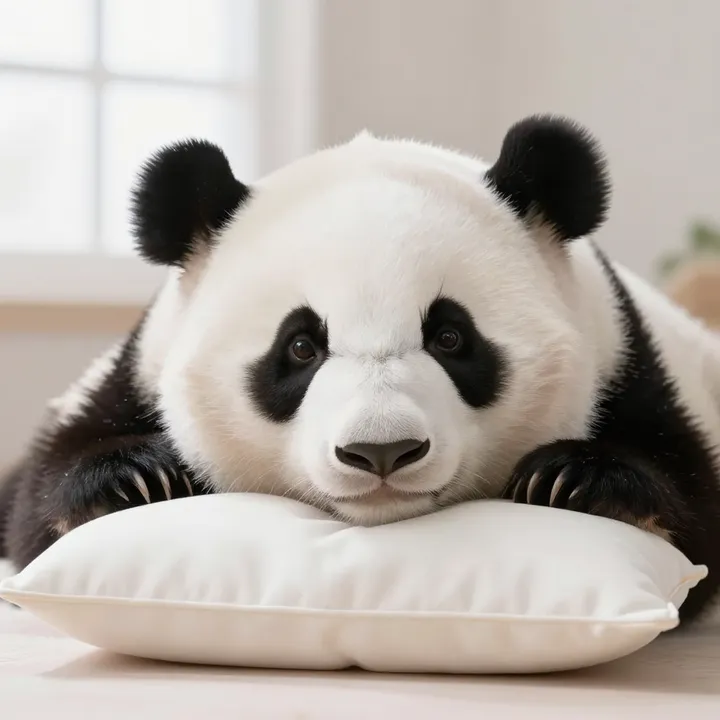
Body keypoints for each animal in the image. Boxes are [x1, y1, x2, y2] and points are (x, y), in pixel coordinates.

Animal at [1, 114, 720, 626]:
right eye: (300, 348)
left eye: (450, 337)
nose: (382, 451)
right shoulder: (138, 368)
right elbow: (40, 508)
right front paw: (136, 478)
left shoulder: (624, 361)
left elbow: (693, 512)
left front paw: (574, 478)